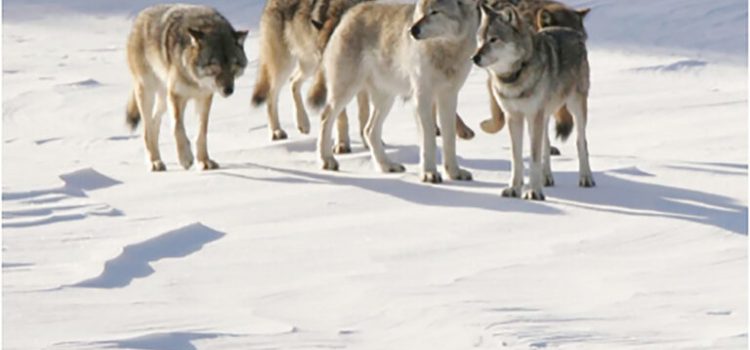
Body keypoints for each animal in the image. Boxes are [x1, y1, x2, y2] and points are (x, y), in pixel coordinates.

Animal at [126, 3, 248, 171]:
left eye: (233, 65)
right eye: (214, 65)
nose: (228, 90)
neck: (195, 79)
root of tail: (141, 15)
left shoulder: (204, 98)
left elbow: (202, 132)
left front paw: (204, 161)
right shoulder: (176, 96)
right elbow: (177, 127)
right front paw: (185, 158)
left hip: (163, 100)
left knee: (154, 123)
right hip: (148, 93)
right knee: (147, 129)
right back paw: (154, 162)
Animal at [310, 0, 482, 183]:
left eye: (434, 12)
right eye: (420, 12)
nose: (412, 30)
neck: (445, 50)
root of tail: (351, 12)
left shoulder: (449, 96)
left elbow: (449, 138)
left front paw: (454, 173)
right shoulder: (422, 97)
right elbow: (429, 139)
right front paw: (429, 174)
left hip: (386, 99)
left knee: (369, 130)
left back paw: (387, 166)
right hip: (346, 90)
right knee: (325, 117)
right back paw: (327, 160)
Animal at [478, 4, 596, 200]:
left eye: (493, 39)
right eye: (480, 40)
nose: (474, 58)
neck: (515, 76)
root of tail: (571, 31)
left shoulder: (534, 116)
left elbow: (533, 157)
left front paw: (533, 192)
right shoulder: (514, 117)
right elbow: (517, 157)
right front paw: (514, 189)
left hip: (575, 107)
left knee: (581, 142)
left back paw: (586, 178)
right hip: (544, 116)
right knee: (546, 145)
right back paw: (546, 178)